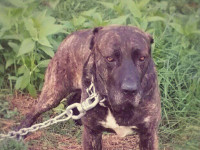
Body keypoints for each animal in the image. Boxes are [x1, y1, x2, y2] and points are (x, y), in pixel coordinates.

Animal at [19, 25, 161, 149]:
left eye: (142, 58)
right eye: (110, 58)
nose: (130, 90)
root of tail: (72, 35)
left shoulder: (148, 135)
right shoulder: (92, 134)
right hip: (53, 93)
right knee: (33, 112)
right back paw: (19, 134)